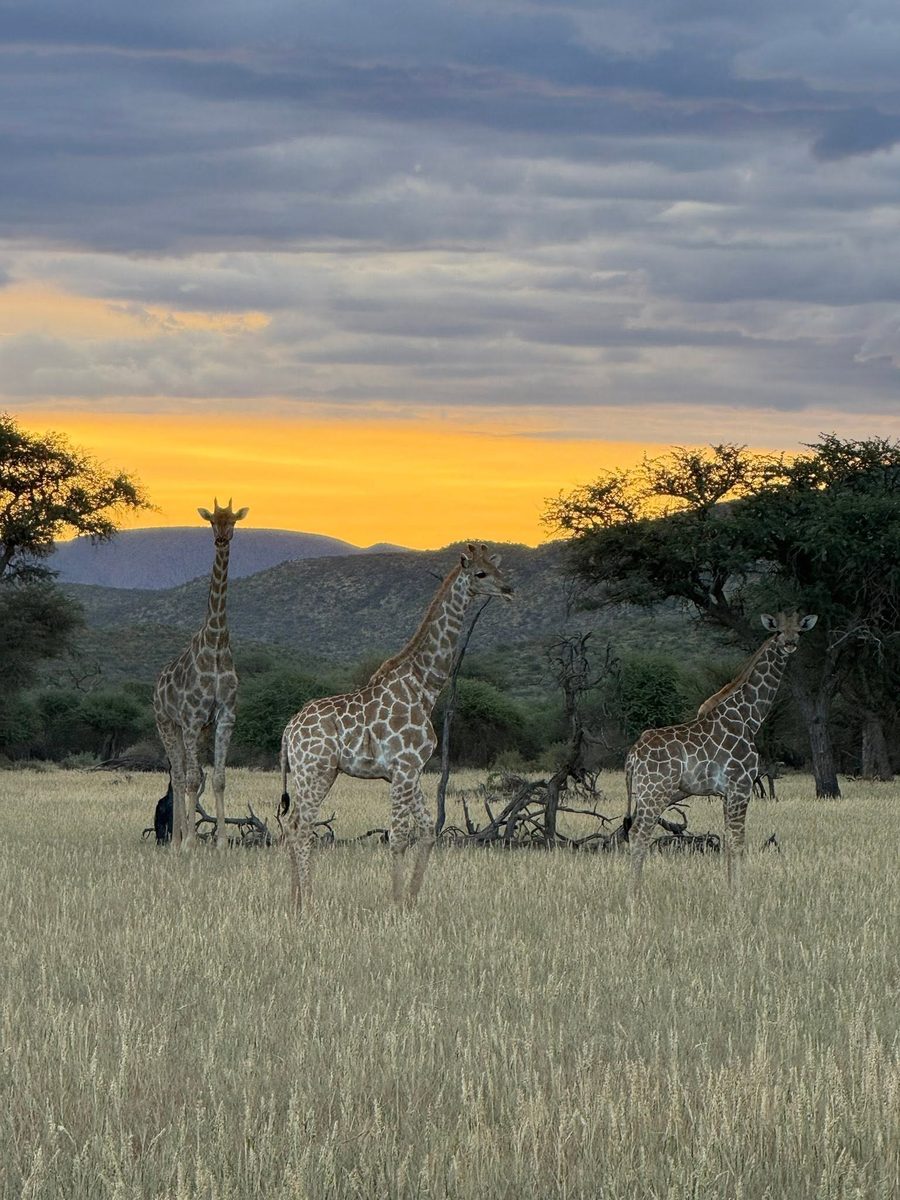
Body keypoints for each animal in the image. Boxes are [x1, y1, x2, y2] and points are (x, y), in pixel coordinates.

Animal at [153, 499, 248, 847]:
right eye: (211, 521)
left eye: (232, 520)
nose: (221, 539)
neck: (217, 643)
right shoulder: (192, 718)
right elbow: (193, 778)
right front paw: (191, 842)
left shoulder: (224, 716)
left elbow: (218, 778)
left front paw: (220, 841)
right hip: (167, 724)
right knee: (179, 775)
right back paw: (177, 842)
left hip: (195, 729)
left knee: (185, 775)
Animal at [279, 543, 513, 912]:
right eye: (481, 573)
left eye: (498, 568)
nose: (508, 589)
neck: (423, 687)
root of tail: (289, 729)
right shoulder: (404, 767)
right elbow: (399, 836)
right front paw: (395, 903)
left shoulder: (412, 770)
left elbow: (428, 829)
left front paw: (412, 900)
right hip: (315, 770)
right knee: (301, 827)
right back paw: (310, 901)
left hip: (314, 773)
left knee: (291, 824)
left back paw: (295, 899)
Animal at [625, 611, 817, 890]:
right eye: (778, 631)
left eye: (799, 631)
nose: (790, 644)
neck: (749, 716)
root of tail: (632, 756)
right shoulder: (741, 785)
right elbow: (738, 842)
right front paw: (739, 892)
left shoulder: (726, 793)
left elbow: (727, 840)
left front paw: (729, 887)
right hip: (655, 794)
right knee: (639, 834)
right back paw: (634, 893)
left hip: (643, 794)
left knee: (632, 832)